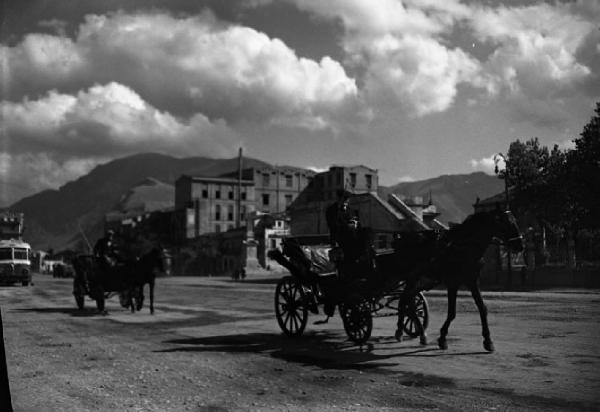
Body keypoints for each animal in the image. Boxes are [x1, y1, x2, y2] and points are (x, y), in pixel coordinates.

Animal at [396, 211, 524, 352]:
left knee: (407, 299)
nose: (520, 246)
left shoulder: (472, 281)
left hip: (421, 279)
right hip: (412, 277)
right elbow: (452, 313)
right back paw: (402, 331)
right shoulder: (453, 283)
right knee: (405, 299)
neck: (464, 247)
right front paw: (442, 338)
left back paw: (418, 333)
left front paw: (488, 340)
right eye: (506, 224)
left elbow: (482, 308)